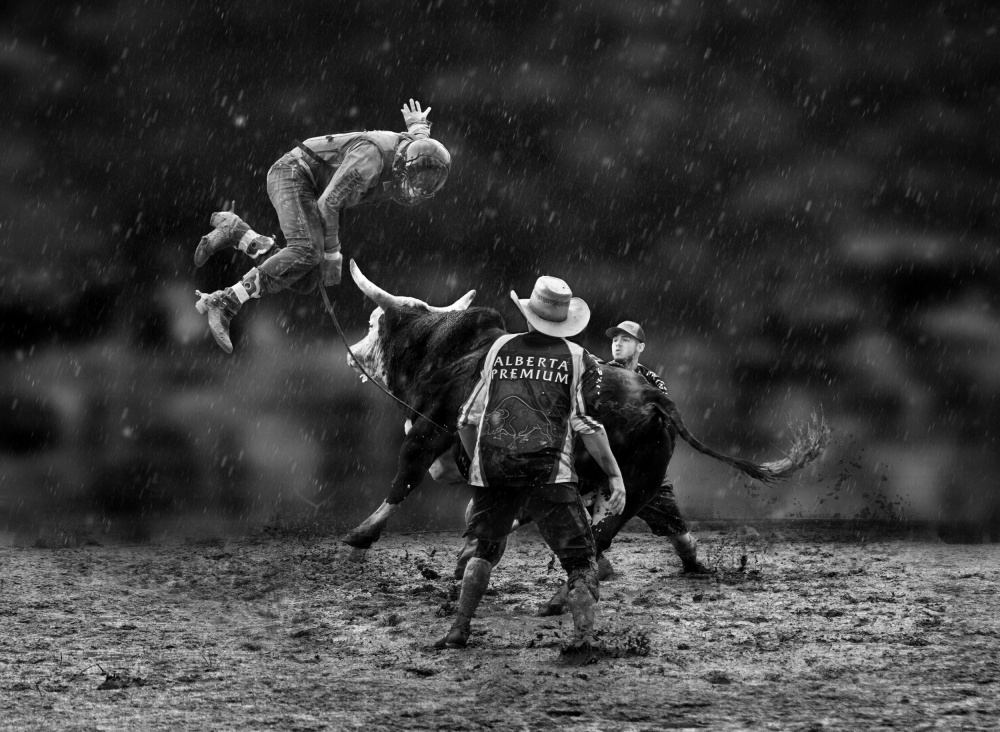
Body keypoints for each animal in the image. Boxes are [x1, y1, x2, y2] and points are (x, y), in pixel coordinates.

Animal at [339, 259, 829, 593]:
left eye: (374, 322)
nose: (353, 352)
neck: (451, 354)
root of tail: (654, 398)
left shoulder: (430, 432)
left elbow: (403, 481)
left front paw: (361, 535)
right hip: (640, 481)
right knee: (630, 525)